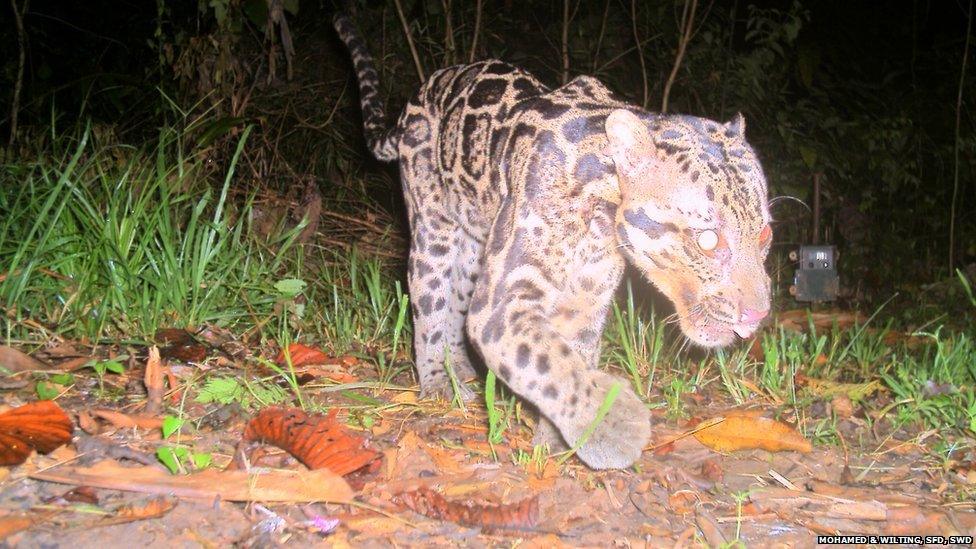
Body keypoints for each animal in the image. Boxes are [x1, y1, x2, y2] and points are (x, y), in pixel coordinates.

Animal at [333, 13, 772, 469]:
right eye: (708, 240)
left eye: (765, 235)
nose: (759, 314)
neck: (602, 217)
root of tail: (425, 89)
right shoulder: (501, 304)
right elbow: (545, 361)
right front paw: (613, 426)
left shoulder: (586, 298)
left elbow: (567, 360)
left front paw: (557, 443)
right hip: (432, 230)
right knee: (429, 305)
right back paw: (438, 382)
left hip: (475, 249)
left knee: (455, 304)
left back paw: (460, 372)